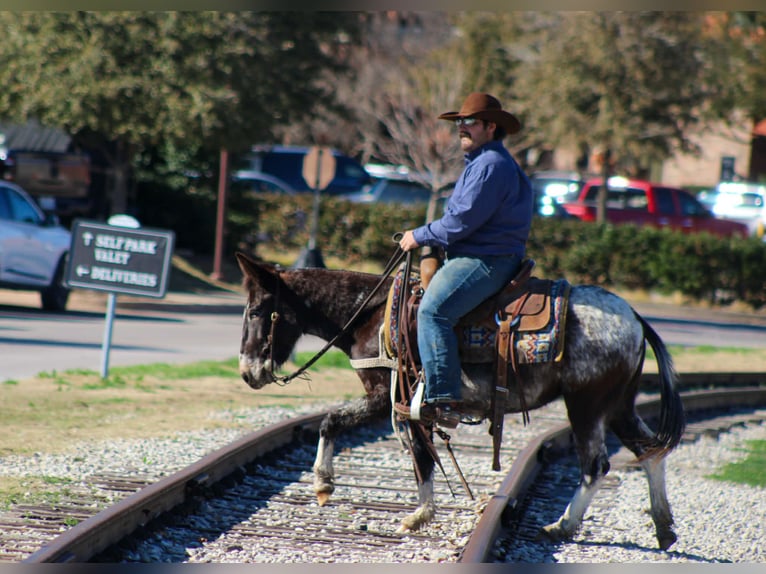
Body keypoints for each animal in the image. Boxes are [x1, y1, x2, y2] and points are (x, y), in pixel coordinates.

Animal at [235, 251, 686, 550]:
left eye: (256, 311)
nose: (247, 373)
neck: (370, 316)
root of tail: (634, 318)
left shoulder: (388, 398)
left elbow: (364, 434)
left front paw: (337, 487)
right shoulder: (404, 405)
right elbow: (413, 451)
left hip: (587, 406)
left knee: (596, 465)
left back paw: (563, 526)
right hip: (619, 405)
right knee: (651, 453)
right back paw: (664, 528)